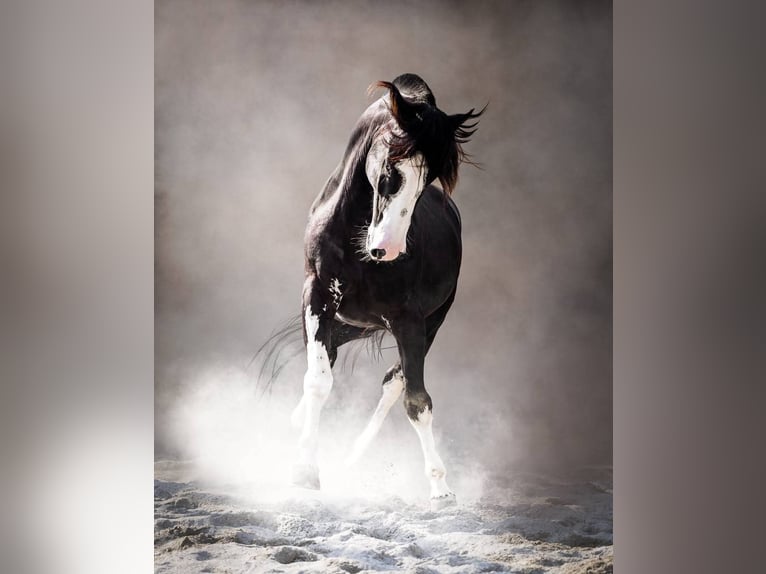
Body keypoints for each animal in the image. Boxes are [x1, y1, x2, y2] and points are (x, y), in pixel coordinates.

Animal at [289, 73, 483, 510]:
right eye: (392, 166)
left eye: (428, 179)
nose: (388, 248)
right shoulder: (317, 298)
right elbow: (318, 380)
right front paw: (305, 470)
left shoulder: (409, 320)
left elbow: (417, 401)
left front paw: (441, 488)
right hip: (344, 322)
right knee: (328, 366)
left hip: (431, 322)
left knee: (394, 383)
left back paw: (352, 461)